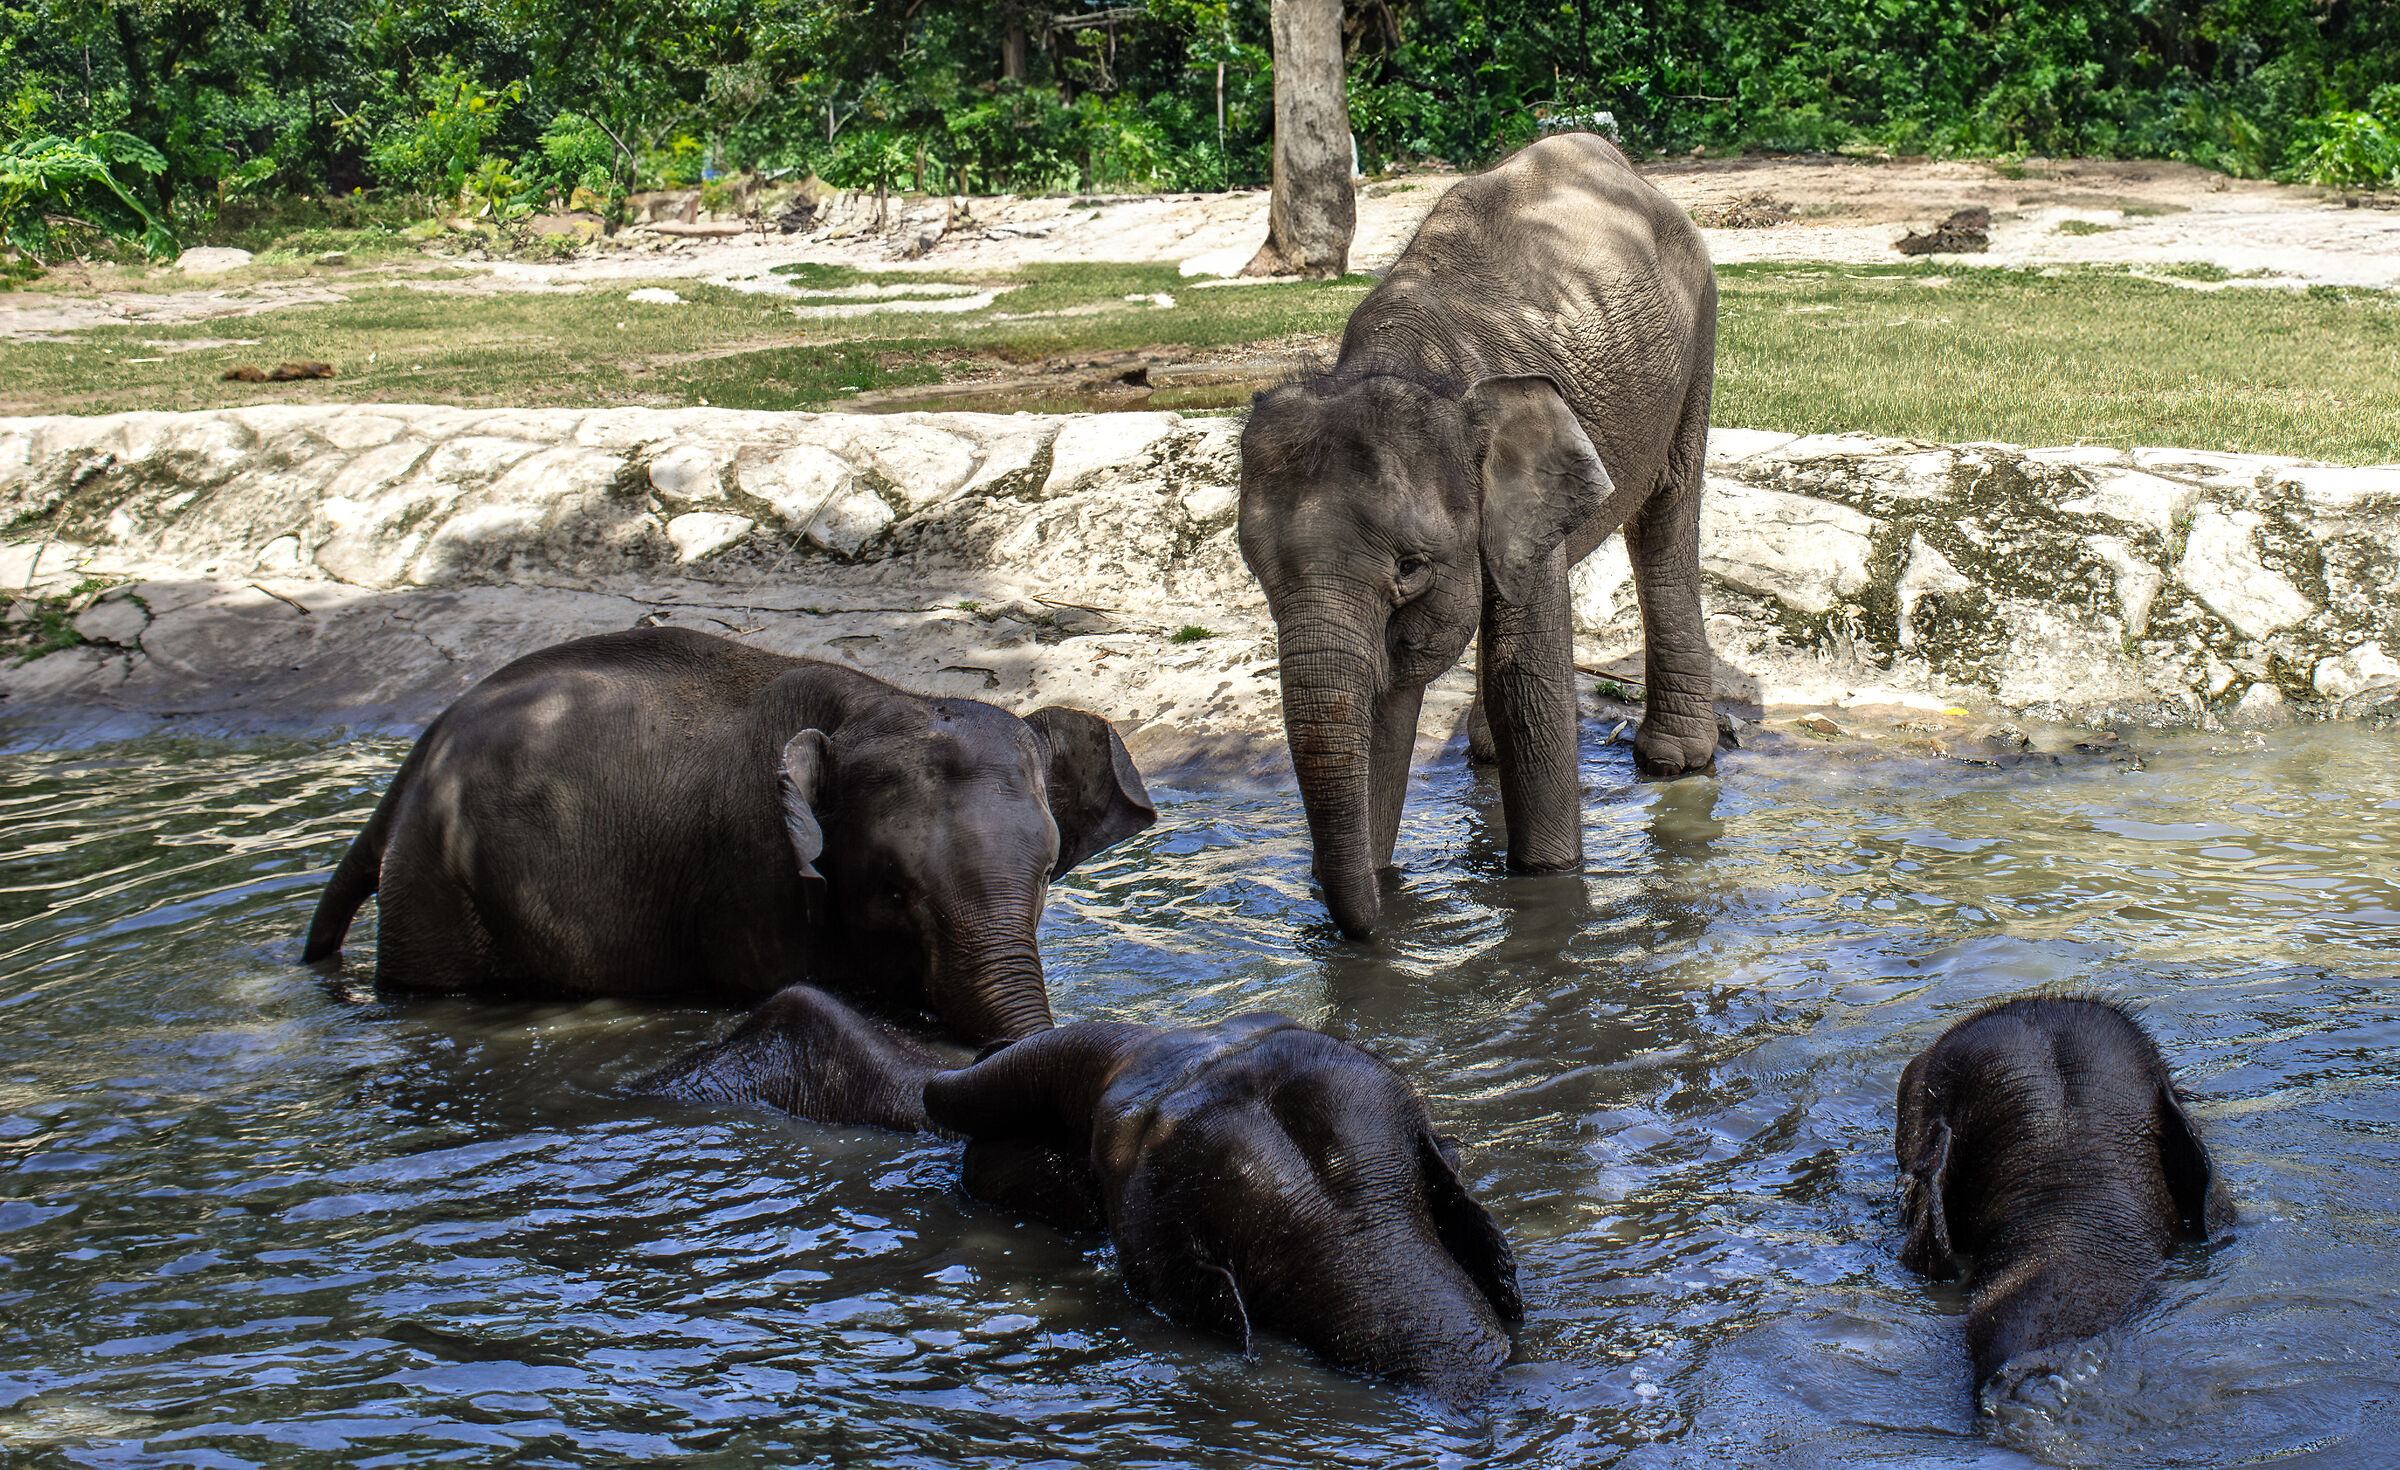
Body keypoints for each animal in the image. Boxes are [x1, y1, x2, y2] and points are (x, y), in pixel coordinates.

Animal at [303, 627, 1156, 1055]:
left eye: (1044, 878)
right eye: (893, 891)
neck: (874, 699)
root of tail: (420, 753)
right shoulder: (753, 874)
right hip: (439, 890)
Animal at [1236, 131, 1720, 938]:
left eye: (1410, 567)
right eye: (1260, 576)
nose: (1362, 934)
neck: (1408, 366)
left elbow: (1524, 675)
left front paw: (1548, 888)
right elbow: (1389, 697)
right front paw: (1380, 884)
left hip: (1698, 342)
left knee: (1666, 521)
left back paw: (1676, 762)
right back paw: (1485, 756)